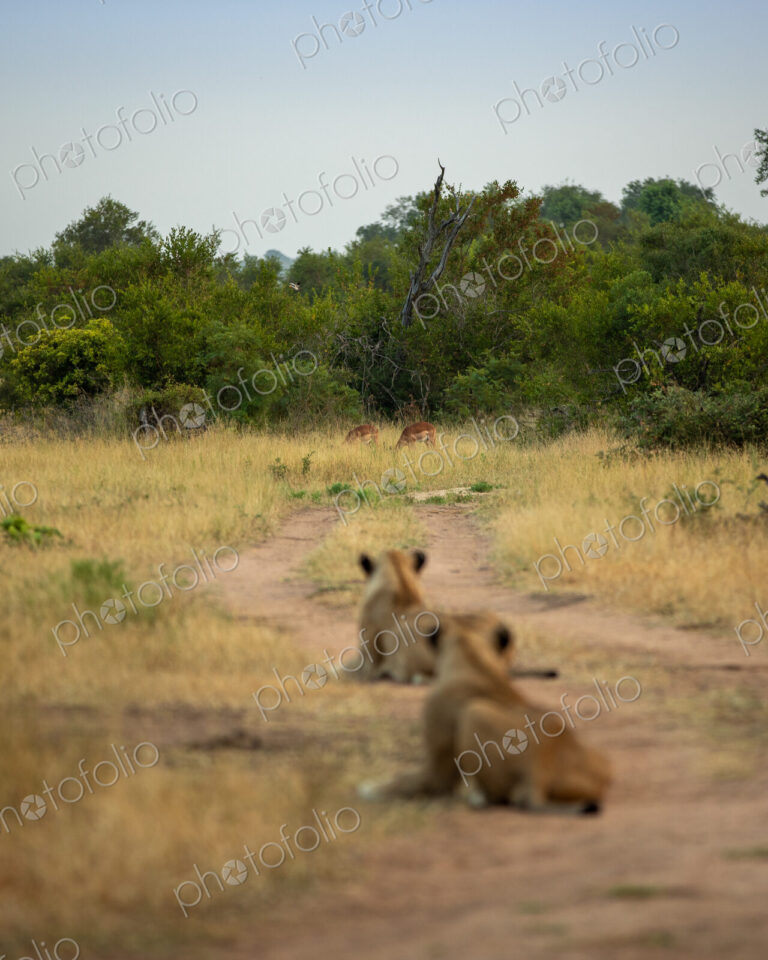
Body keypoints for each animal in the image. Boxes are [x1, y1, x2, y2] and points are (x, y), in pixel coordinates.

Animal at [359, 612, 610, 814]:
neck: (474, 659)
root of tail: (538, 774)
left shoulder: (437, 767)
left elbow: (407, 781)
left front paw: (368, 789)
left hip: (475, 711)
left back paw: (476, 798)